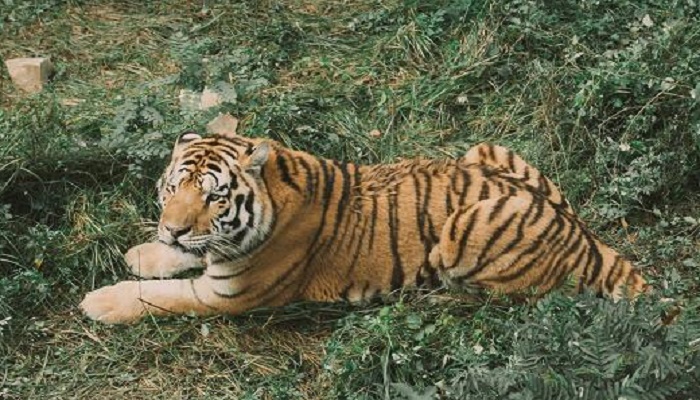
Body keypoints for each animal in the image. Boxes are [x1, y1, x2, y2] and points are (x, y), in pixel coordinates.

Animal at [80, 131, 647, 324]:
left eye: (215, 195)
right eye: (173, 188)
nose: (172, 228)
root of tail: (586, 238)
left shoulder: (230, 295)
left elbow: (163, 296)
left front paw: (103, 301)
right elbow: (184, 256)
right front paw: (147, 251)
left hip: (463, 230)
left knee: (501, 300)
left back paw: (435, 298)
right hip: (484, 149)